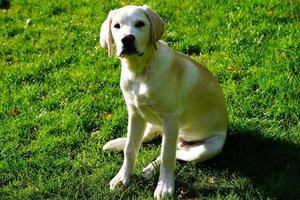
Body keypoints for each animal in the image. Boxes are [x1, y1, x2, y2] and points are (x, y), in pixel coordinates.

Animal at [98, 4, 227, 198]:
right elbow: (130, 147)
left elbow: (167, 155)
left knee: (175, 153)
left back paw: (150, 170)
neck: (140, 72)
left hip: (206, 148)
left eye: (140, 24)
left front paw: (164, 186)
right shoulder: (135, 113)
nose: (127, 39)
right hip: (154, 125)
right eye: (117, 26)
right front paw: (122, 177)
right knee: (148, 139)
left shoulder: (170, 119)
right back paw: (119, 145)